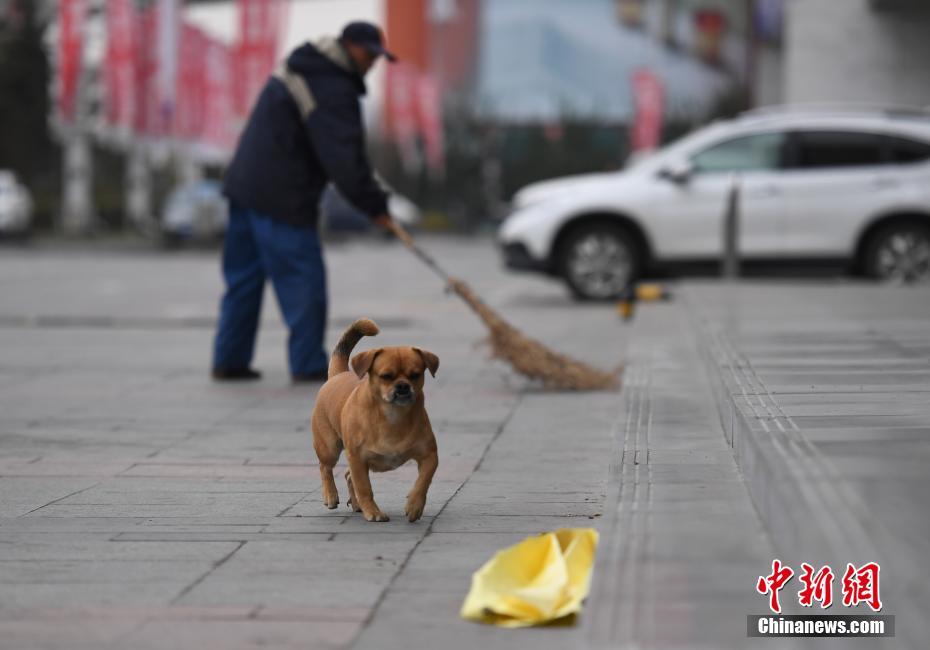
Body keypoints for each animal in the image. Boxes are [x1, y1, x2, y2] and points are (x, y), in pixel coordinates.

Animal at [312, 318, 438, 520]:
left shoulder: (430, 455)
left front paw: (414, 506)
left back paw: (357, 505)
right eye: (386, 376)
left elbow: (423, 481)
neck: (392, 415)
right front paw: (373, 512)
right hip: (329, 447)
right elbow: (364, 488)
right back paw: (331, 495)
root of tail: (338, 374)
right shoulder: (357, 458)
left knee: (348, 476)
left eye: (415, 375)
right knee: (326, 467)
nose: (403, 386)